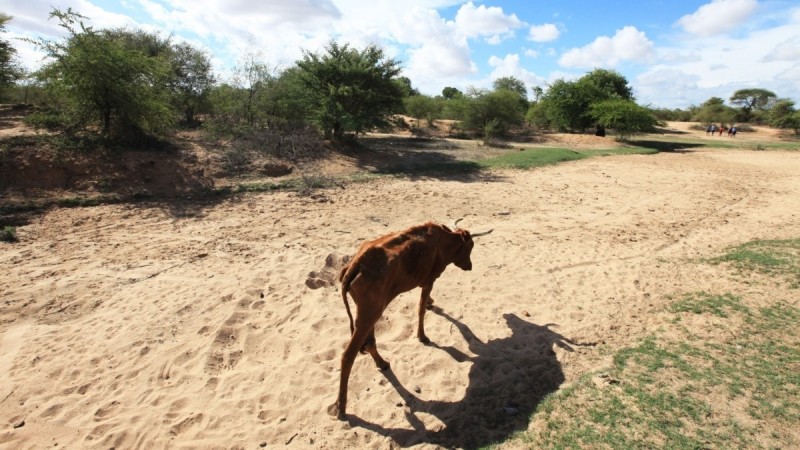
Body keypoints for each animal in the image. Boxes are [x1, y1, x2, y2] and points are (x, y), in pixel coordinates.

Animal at [326, 218, 490, 418]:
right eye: (470, 246)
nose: (469, 266)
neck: (444, 240)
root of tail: (355, 265)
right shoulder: (429, 280)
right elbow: (420, 310)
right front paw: (422, 336)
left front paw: (431, 303)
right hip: (368, 314)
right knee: (348, 356)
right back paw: (341, 406)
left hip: (369, 313)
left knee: (370, 341)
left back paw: (382, 363)